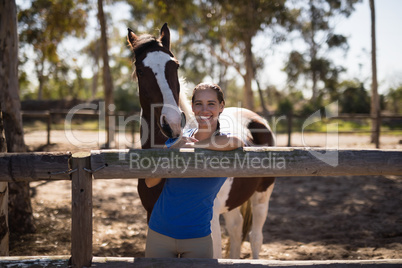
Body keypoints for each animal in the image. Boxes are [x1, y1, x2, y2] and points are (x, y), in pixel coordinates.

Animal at [129, 23, 276, 260]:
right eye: (141, 70)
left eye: (175, 66)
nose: (172, 122)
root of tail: (256, 118)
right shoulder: (151, 215)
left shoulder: (211, 223)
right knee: (236, 231)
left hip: (262, 196)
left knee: (255, 237)